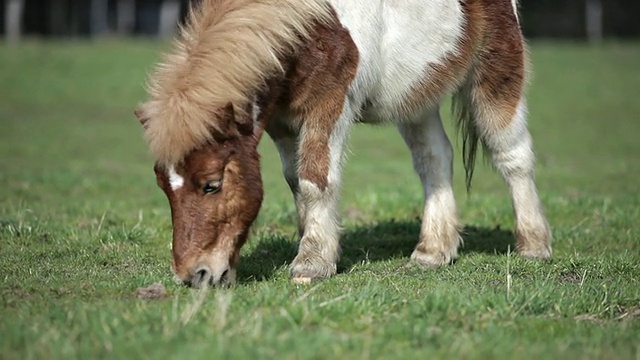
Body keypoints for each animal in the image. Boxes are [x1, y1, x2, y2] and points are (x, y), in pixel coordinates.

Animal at [134, 0, 552, 286]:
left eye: (211, 184)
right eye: (163, 188)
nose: (195, 275)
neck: (307, 27)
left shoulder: (330, 105)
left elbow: (315, 179)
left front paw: (312, 263)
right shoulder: (282, 122)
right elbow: (295, 181)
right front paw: (314, 243)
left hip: (497, 76)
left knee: (513, 157)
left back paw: (534, 246)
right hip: (418, 95)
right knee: (434, 159)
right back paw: (433, 251)